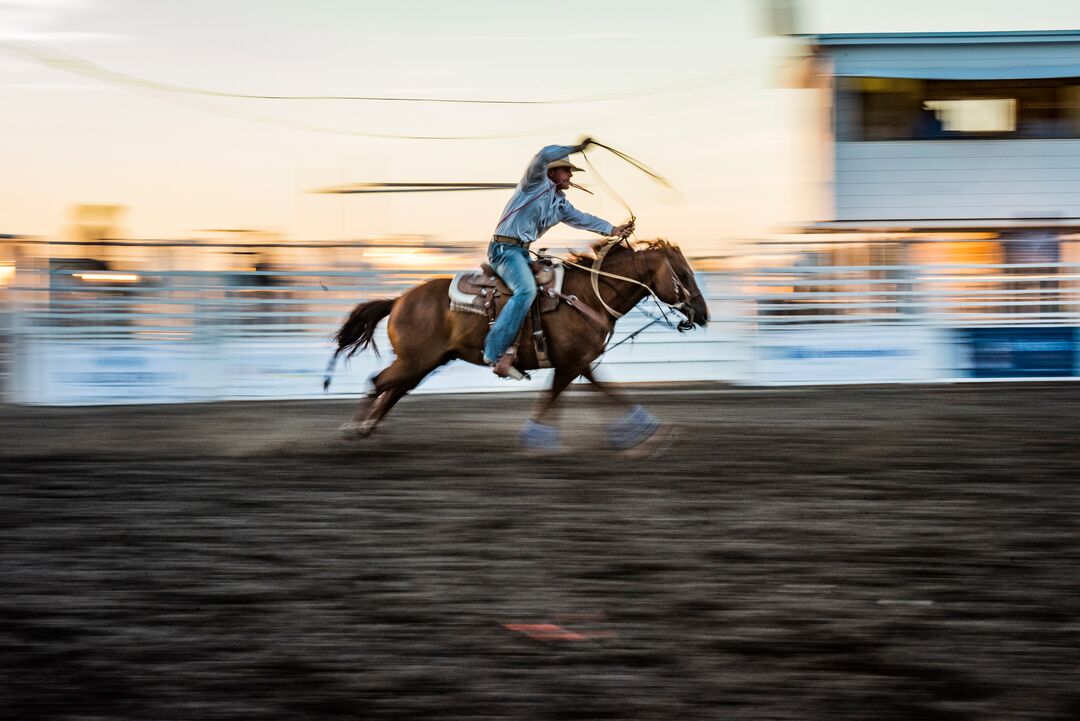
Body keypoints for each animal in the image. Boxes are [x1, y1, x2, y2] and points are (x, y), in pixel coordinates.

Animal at [326, 239, 708, 446]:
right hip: (414, 361)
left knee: (392, 391)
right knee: (378, 382)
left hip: (424, 363)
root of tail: (399, 300)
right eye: (684, 274)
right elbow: (582, 393)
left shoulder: (578, 363)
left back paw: (367, 429)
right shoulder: (574, 362)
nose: (702, 314)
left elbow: (586, 393)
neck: (586, 295)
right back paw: (354, 428)